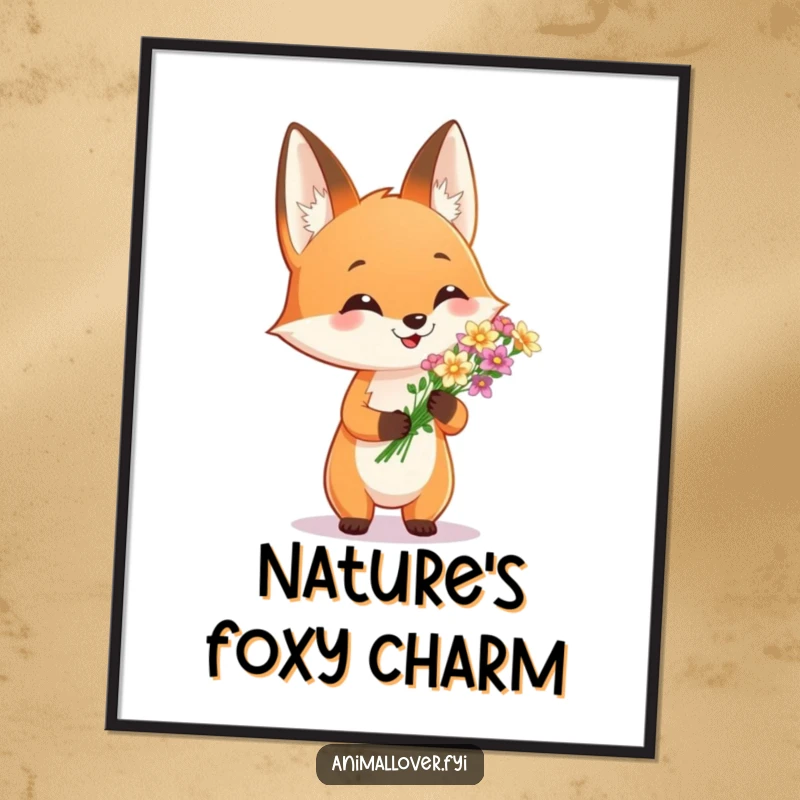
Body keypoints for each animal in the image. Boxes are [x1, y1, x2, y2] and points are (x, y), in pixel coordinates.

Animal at [269, 120, 506, 537]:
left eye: (449, 293)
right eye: (361, 302)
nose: (416, 319)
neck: (400, 375)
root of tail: (388, 508)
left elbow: (458, 418)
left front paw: (440, 403)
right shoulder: (359, 390)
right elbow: (355, 416)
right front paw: (399, 421)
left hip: (438, 484)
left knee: (422, 510)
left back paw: (422, 526)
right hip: (345, 481)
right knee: (355, 505)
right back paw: (354, 523)